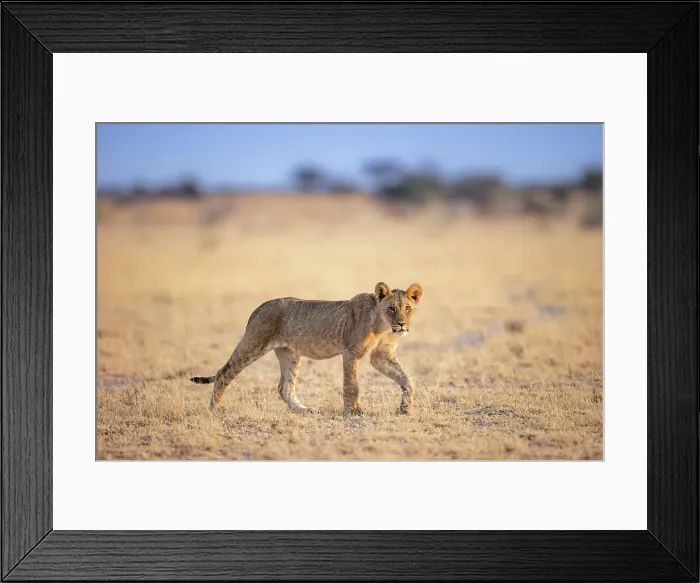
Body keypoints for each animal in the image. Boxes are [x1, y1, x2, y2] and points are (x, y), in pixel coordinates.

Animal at [190, 282, 422, 415]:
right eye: (391, 308)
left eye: (407, 308)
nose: (402, 325)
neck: (383, 326)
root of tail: (259, 307)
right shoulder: (351, 352)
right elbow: (352, 385)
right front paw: (353, 412)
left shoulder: (381, 356)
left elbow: (407, 378)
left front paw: (405, 408)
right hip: (254, 343)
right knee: (224, 373)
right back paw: (216, 409)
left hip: (290, 353)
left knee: (284, 388)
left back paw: (304, 410)